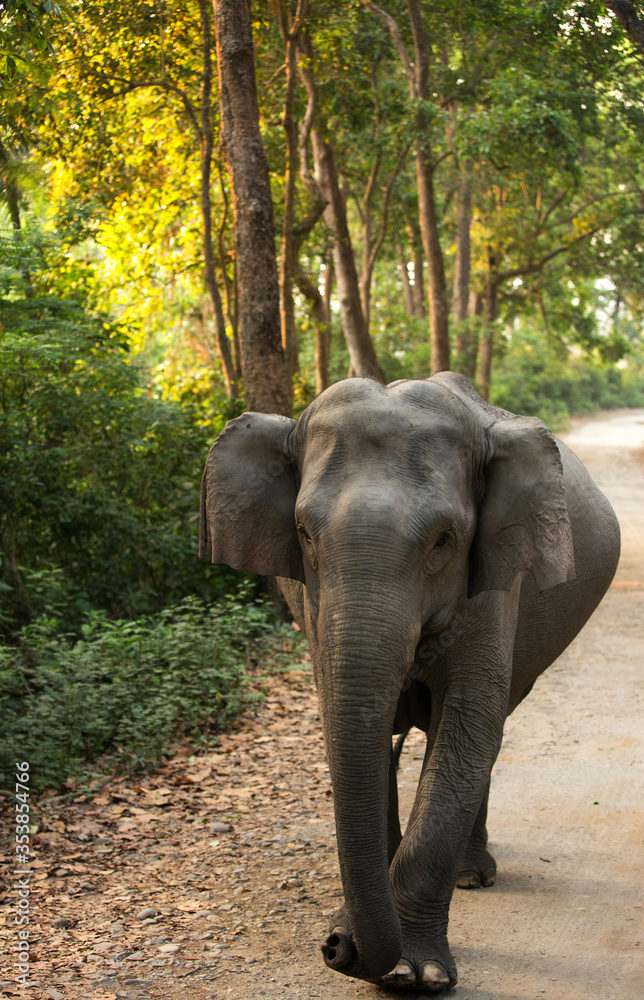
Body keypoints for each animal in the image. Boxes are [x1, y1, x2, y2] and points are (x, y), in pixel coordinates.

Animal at [199, 373, 620, 992]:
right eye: (303, 533)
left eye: (444, 539)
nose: (334, 948)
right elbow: (353, 730)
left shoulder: (496, 581)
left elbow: (469, 727)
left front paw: (413, 973)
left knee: (489, 732)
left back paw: (471, 876)